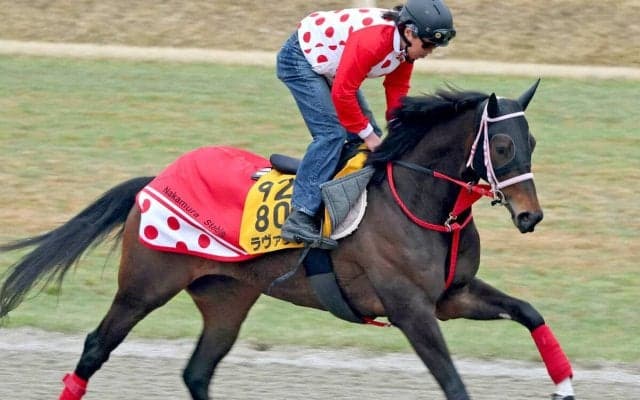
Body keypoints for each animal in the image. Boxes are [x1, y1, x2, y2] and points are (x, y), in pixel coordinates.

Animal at [0, 81, 576, 400]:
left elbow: (530, 313)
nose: (531, 215)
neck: (420, 202)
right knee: (97, 347)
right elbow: (454, 383)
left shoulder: (451, 296)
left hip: (227, 298)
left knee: (198, 371)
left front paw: (565, 387)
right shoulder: (410, 307)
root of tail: (153, 181)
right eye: (502, 145)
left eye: (532, 141)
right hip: (145, 286)